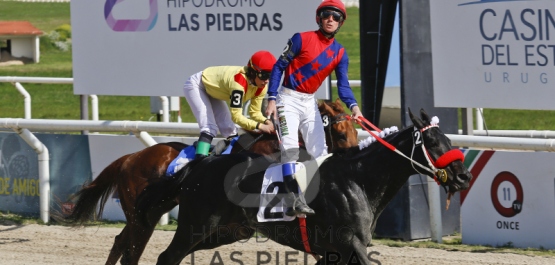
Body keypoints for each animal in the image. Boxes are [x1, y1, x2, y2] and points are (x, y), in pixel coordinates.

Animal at [59, 98, 356, 264]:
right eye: (341, 134)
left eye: (355, 131)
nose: (353, 155)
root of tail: (130, 158)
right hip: (142, 214)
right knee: (131, 248)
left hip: (144, 212)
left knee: (121, 242)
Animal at [137, 108, 472, 264]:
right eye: (432, 143)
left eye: (448, 139)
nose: (463, 177)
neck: (359, 181)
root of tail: (202, 164)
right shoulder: (350, 243)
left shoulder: (333, 252)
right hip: (195, 225)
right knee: (167, 257)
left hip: (223, 232)